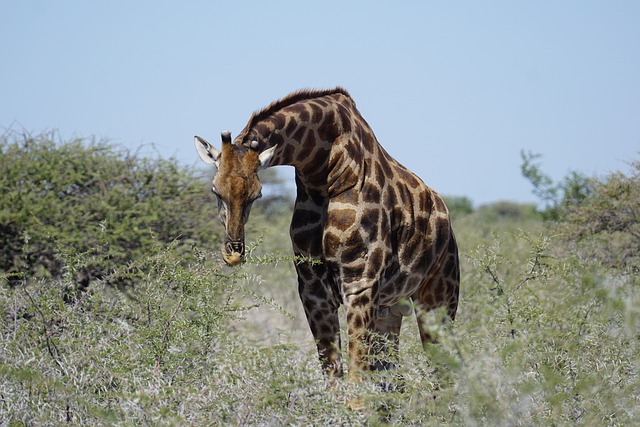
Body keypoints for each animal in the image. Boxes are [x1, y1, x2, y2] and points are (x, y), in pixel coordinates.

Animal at [192, 87, 458, 384]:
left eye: (257, 194)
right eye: (216, 190)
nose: (234, 254)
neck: (320, 175)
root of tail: (444, 215)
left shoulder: (360, 284)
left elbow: (356, 380)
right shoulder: (313, 290)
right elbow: (334, 377)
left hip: (438, 299)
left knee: (445, 372)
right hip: (391, 310)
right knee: (394, 380)